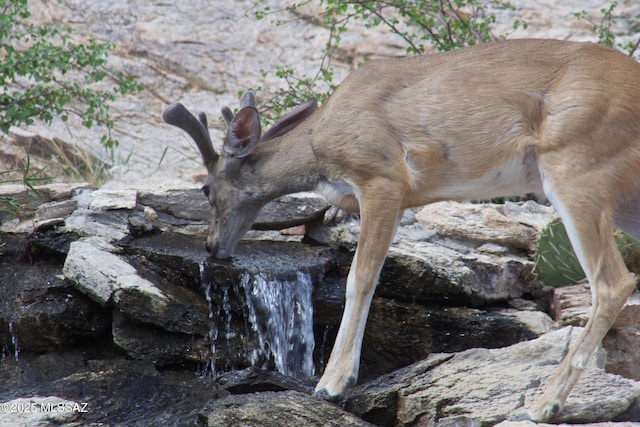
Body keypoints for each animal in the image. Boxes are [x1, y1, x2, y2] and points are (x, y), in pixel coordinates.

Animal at [162, 39, 640, 422]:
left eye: (206, 188)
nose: (212, 246)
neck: (319, 147)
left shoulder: (382, 178)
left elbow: (360, 278)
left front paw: (333, 383)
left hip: (575, 164)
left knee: (613, 283)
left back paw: (544, 404)